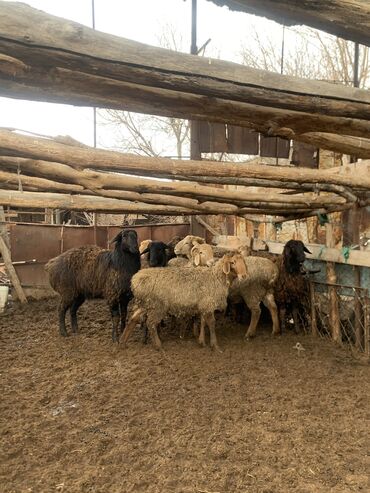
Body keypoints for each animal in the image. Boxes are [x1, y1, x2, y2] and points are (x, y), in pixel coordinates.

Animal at [121, 252, 249, 352]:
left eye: (243, 262)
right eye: (232, 262)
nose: (244, 276)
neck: (216, 278)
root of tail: (135, 280)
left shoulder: (204, 305)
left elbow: (203, 322)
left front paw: (201, 341)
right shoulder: (208, 304)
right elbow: (211, 324)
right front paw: (215, 345)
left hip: (145, 304)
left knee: (133, 318)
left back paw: (123, 341)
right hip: (156, 305)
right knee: (151, 323)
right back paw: (158, 345)